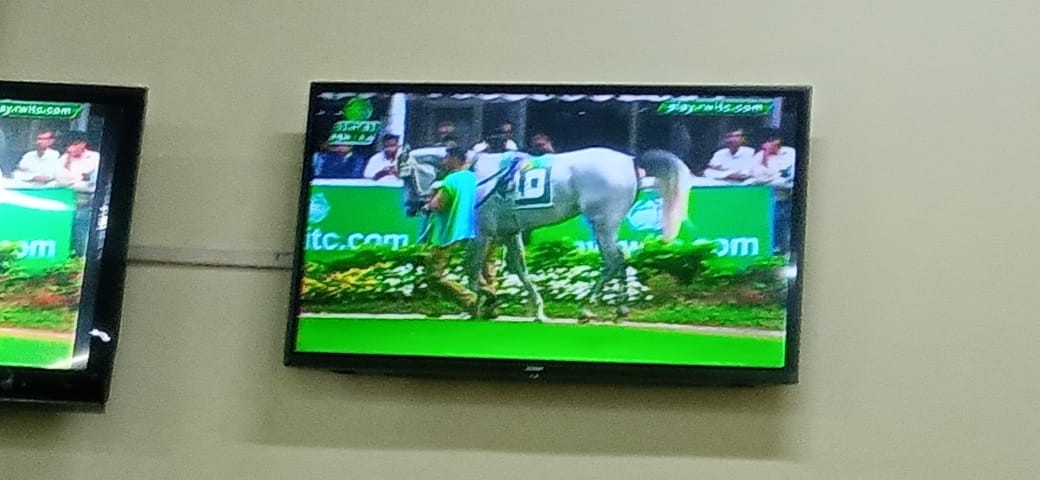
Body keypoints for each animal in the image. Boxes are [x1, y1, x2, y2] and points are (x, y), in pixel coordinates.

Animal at [397, 145, 694, 322]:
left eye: (405, 176)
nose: (411, 207)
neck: (478, 175)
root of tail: (631, 160)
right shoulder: (509, 232)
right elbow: (519, 269)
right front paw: (536, 310)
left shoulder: (483, 232)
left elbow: (472, 268)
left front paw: (472, 306)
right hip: (607, 225)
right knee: (621, 259)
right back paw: (620, 308)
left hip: (602, 223)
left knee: (613, 260)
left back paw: (588, 308)